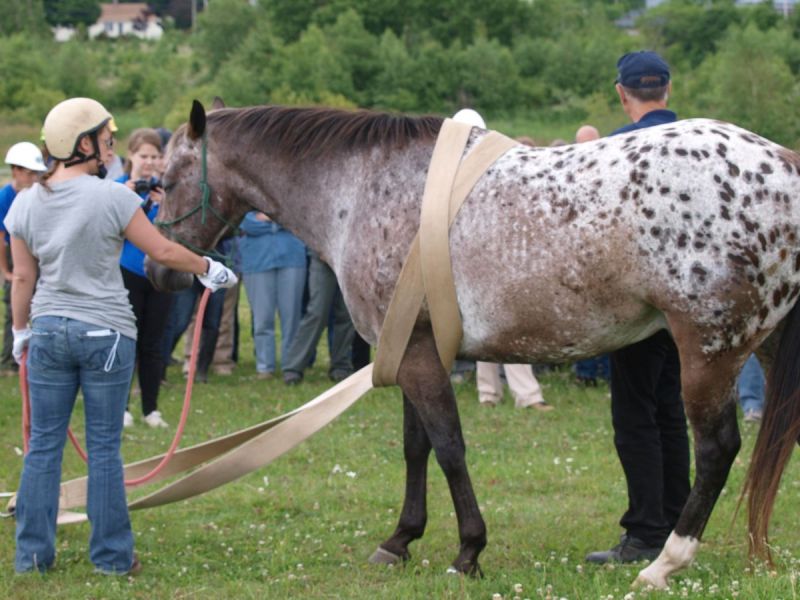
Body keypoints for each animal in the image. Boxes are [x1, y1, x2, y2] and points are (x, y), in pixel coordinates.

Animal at [146, 99, 800, 589]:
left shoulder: (415, 356)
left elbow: (449, 448)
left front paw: (468, 552)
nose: (160, 274)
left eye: (165, 182)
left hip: (710, 352)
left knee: (717, 448)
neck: (362, 189)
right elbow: (416, 448)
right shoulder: (414, 351)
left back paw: (665, 562)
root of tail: (782, 161)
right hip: (762, 346)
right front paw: (400, 540)